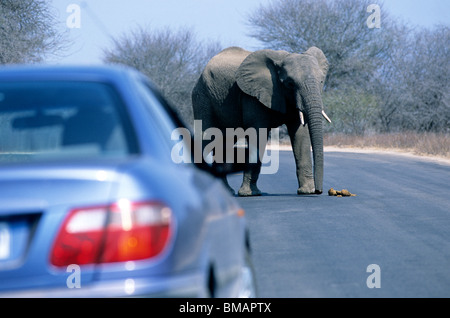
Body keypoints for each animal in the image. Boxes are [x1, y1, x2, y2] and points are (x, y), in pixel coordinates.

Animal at [191, 45, 330, 195]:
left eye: (321, 81)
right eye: (290, 84)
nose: (319, 191)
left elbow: (300, 135)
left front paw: (307, 191)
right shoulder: (252, 96)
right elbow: (258, 133)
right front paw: (248, 193)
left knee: (223, 141)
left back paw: (226, 191)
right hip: (202, 97)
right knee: (207, 138)